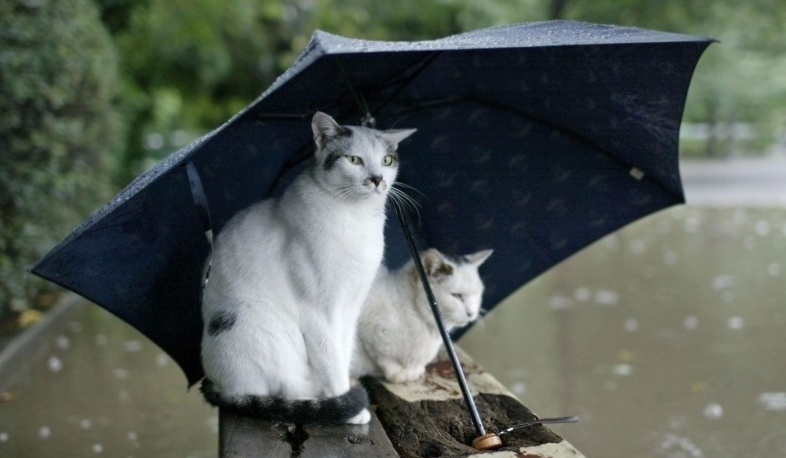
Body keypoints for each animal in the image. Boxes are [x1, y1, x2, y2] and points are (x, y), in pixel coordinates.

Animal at [199, 111, 414, 426]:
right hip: (262, 323)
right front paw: (348, 404)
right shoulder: (318, 313)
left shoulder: (351, 307)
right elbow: (330, 361)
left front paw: (345, 389)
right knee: (286, 389)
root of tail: (217, 384)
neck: (357, 218)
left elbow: (342, 352)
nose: (377, 179)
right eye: (354, 160)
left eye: (386, 161)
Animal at [354, 249, 494, 382]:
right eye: (456, 295)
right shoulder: (368, 331)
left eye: (477, 293)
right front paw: (398, 373)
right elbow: (385, 358)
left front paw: (413, 371)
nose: (472, 313)